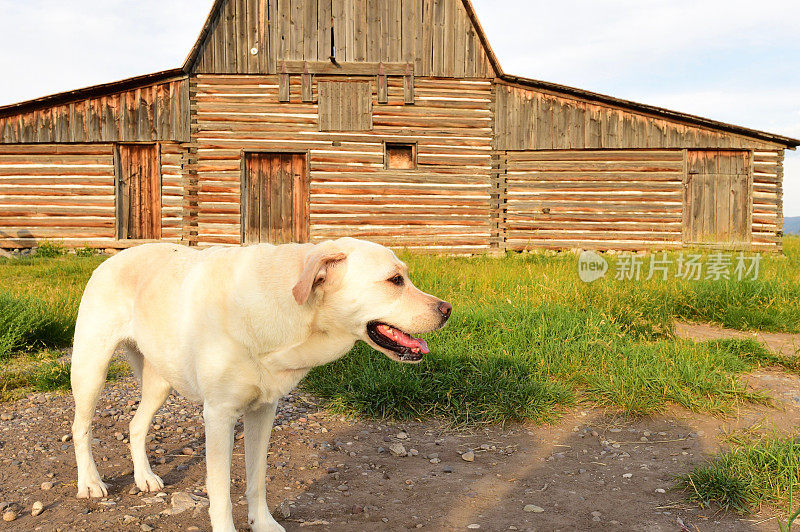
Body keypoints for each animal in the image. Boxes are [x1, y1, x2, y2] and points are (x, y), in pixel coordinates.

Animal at [70, 238, 450, 532]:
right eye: (395, 280)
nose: (448, 309)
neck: (285, 308)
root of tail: (112, 258)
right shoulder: (219, 416)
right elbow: (220, 491)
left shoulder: (264, 411)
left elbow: (257, 480)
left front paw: (262, 523)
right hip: (91, 369)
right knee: (80, 427)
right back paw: (90, 482)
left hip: (160, 382)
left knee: (136, 425)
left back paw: (145, 477)